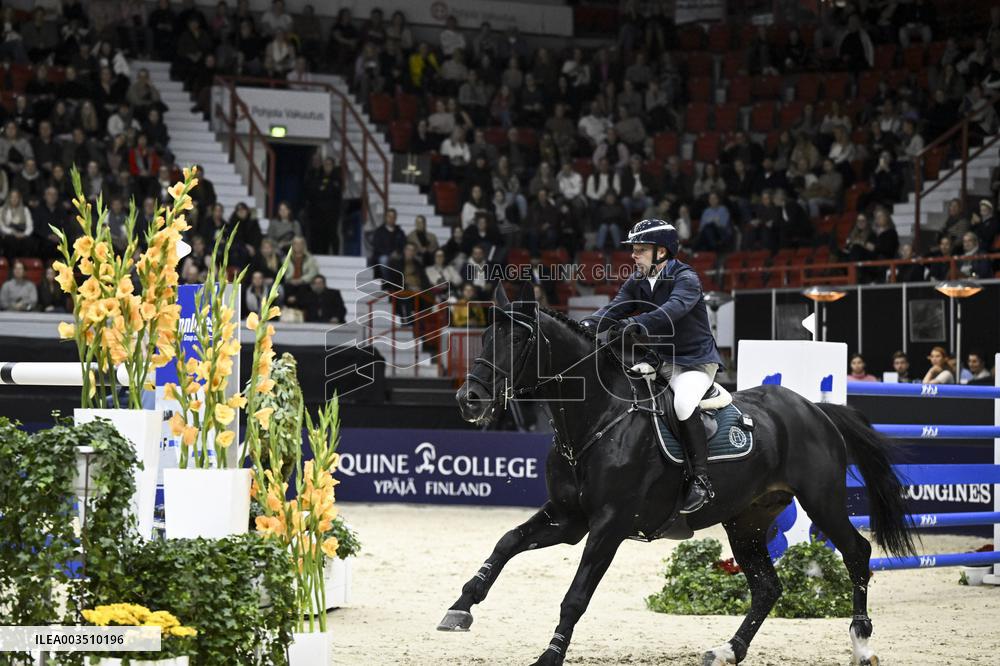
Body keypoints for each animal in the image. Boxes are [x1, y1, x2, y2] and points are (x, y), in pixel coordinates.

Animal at [437, 285, 914, 666]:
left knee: (857, 553)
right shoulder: (568, 517)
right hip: (746, 520)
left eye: (519, 338)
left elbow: (576, 596)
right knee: (767, 587)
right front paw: (460, 607)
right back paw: (728, 650)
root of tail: (815, 409)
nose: (469, 399)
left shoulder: (609, 525)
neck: (596, 419)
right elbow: (507, 542)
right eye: (484, 336)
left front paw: (550, 654)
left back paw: (862, 644)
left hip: (821, 500)